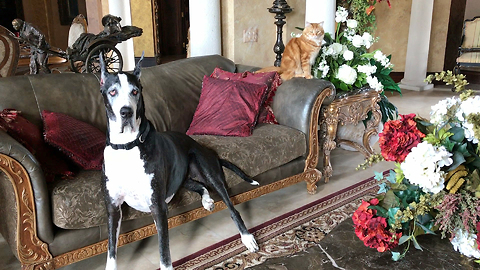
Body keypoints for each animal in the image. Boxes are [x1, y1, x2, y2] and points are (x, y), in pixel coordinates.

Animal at [99, 53, 260, 270]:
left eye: (135, 92)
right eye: (112, 91)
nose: (126, 112)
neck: (128, 146)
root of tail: (208, 150)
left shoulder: (158, 207)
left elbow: (164, 252)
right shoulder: (113, 208)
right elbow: (111, 251)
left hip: (208, 171)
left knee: (231, 206)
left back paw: (247, 237)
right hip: (182, 179)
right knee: (199, 185)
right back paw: (207, 200)